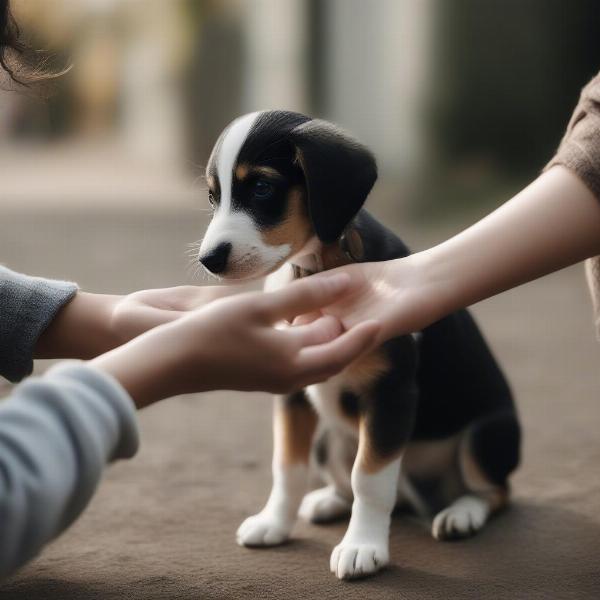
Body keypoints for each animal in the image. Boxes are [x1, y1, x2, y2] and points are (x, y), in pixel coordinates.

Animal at [198, 110, 520, 580]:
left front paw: (363, 546)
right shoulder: (293, 392)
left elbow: (368, 477)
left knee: (496, 490)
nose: (209, 260)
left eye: (261, 188)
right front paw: (274, 523)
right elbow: (288, 467)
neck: (317, 270)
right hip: (328, 437)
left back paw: (460, 514)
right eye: (212, 196)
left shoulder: (391, 393)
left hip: (487, 435)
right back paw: (328, 502)